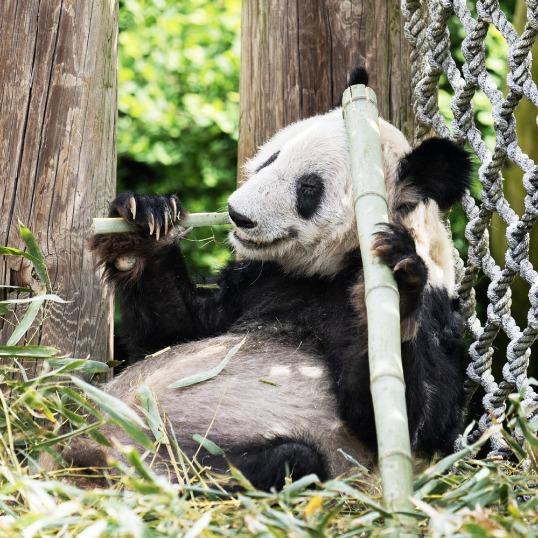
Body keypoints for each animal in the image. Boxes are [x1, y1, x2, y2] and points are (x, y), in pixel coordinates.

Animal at [75, 67, 468, 490]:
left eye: (309, 188)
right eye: (272, 158)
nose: (238, 215)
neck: (328, 269)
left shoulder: (436, 311)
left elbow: (415, 420)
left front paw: (401, 278)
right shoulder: (258, 280)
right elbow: (173, 333)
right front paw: (144, 222)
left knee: (288, 460)